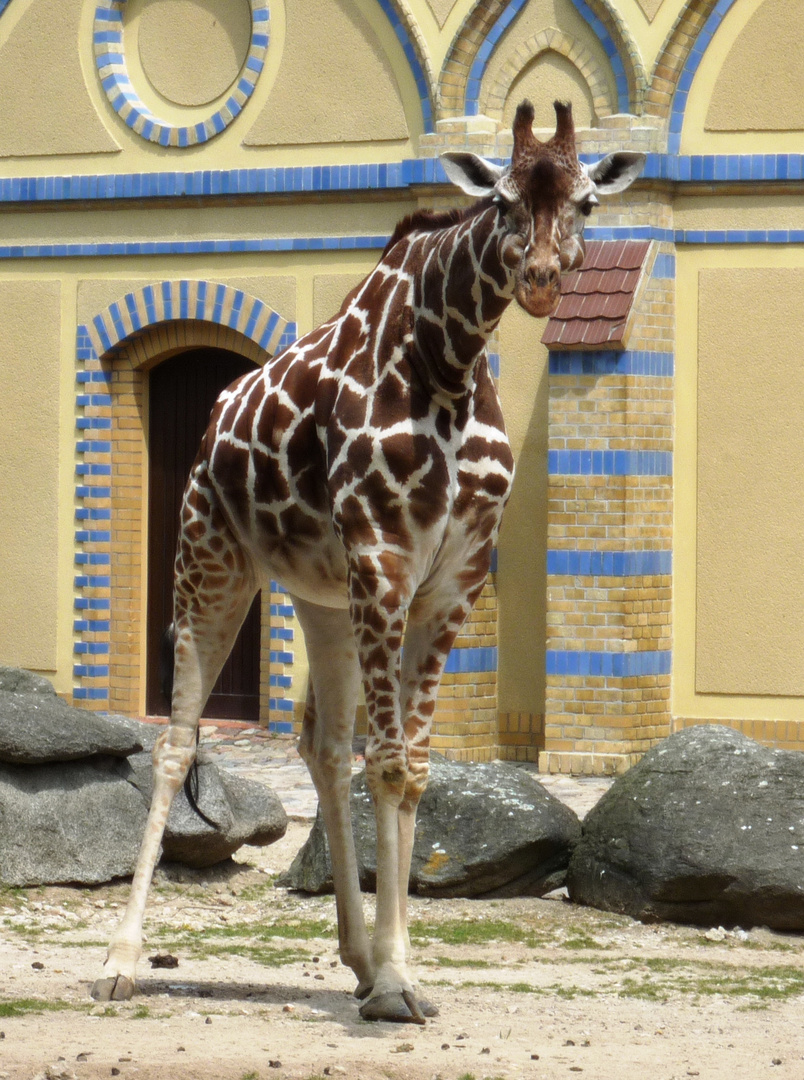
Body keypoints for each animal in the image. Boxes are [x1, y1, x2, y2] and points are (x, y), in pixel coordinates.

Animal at [91, 99, 644, 1019]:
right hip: (212, 563)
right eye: (500, 198)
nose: (539, 280)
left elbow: (411, 768)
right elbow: (386, 764)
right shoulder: (386, 559)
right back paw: (120, 961)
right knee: (175, 746)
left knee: (320, 744)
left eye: (587, 202)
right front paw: (393, 983)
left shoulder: (453, 579)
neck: (449, 365)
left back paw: (349, 955)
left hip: (320, 599)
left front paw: (395, 969)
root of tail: (214, 414)